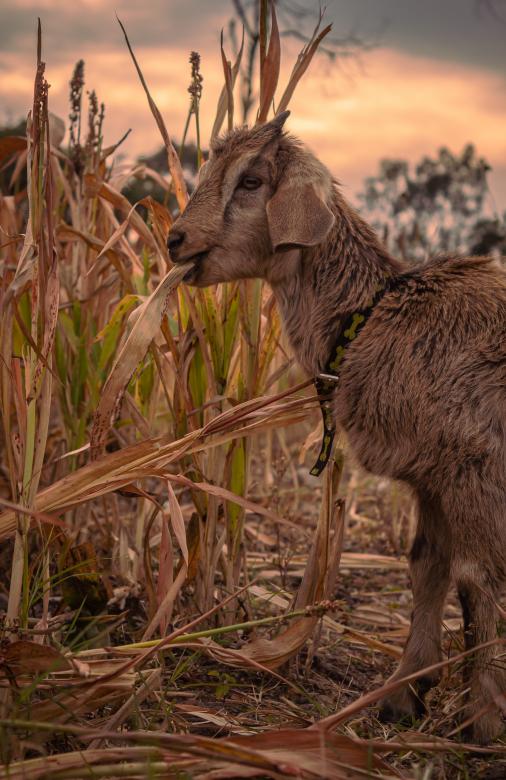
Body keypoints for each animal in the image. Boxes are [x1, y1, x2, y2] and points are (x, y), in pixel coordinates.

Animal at [168, 111, 506, 744]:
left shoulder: (475, 469)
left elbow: (477, 580)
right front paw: (403, 693)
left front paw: (482, 719)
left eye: (251, 180)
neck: (372, 316)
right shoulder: (433, 478)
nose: (175, 239)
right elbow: (428, 566)